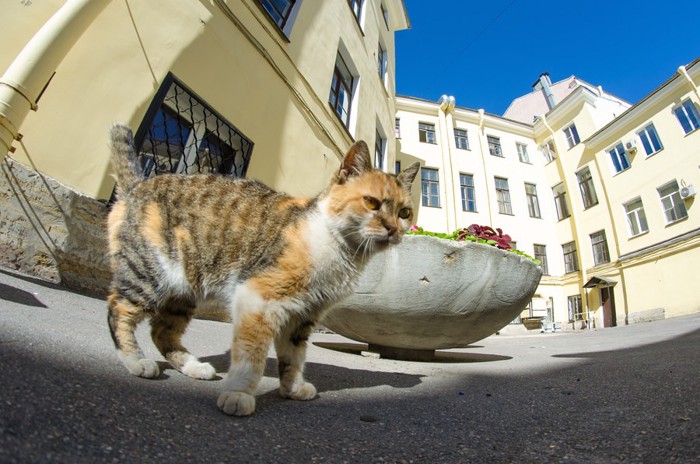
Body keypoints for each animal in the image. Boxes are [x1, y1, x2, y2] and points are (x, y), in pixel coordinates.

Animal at [106, 123, 418, 416]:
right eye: (371, 202)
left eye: (404, 213)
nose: (393, 228)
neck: (338, 249)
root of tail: (137, 185)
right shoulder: (257, 297)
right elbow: (251, 355)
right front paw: (239, 393)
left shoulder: (303, 314)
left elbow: (293, 356)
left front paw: (292, 388)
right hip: (149, 272)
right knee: (118, 311)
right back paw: (137, 361)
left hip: (184, 292)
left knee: (162, 330)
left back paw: (194, 367)